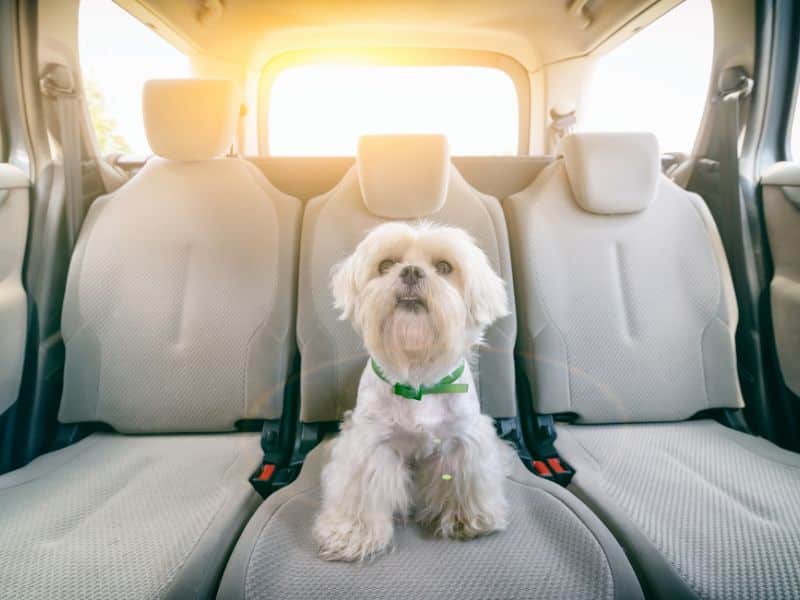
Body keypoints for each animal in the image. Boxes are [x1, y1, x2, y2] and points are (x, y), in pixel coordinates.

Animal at [312, 221, 512, 564]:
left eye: (444, 267)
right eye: (386, 264)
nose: (411, 272)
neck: (418, 376)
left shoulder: (462, 439)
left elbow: (464, 481)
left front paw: (467, 519)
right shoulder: (370, 445)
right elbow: (361, 494)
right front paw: (351, 535)